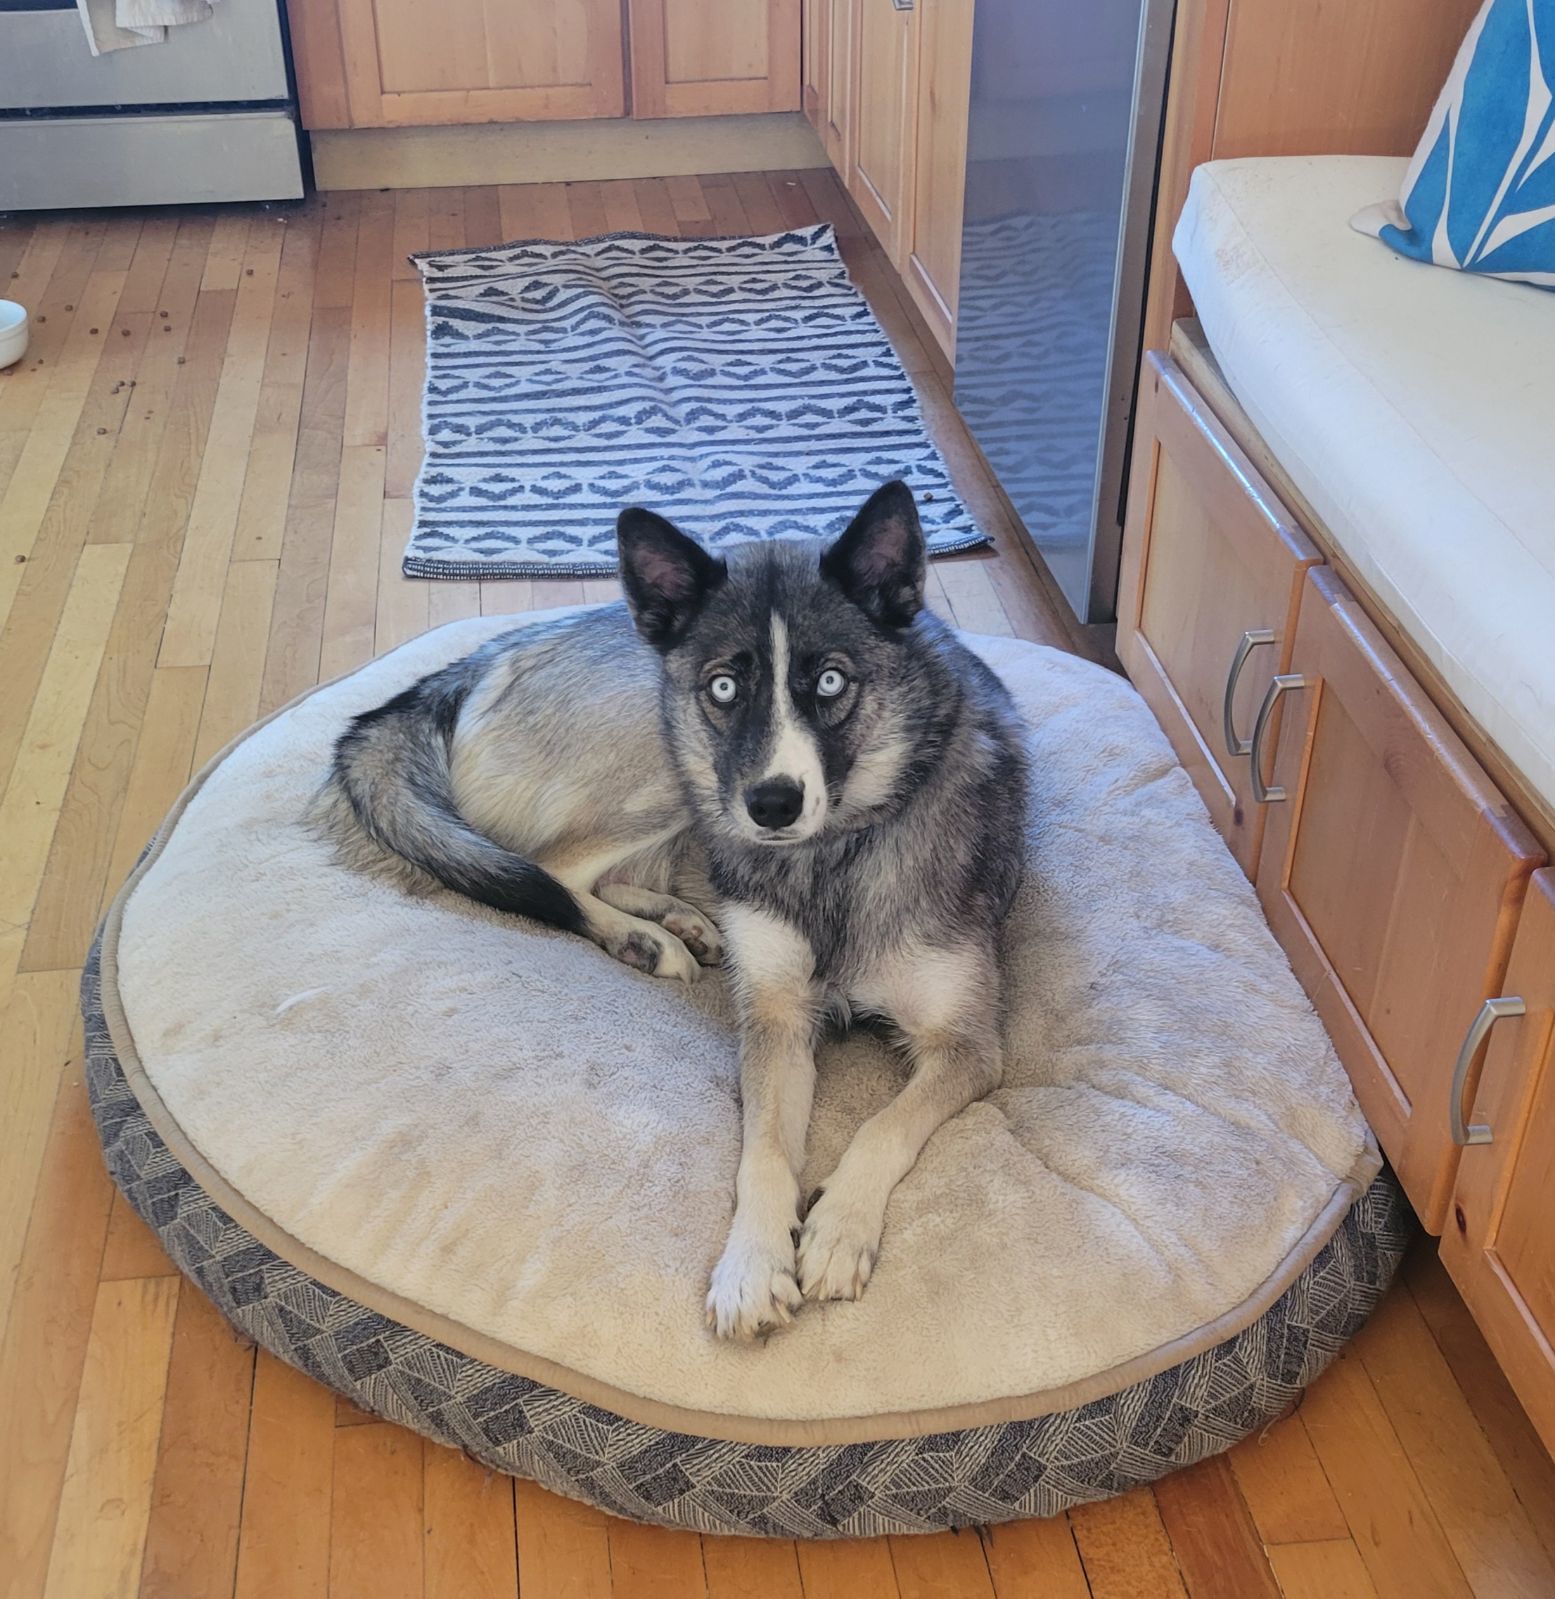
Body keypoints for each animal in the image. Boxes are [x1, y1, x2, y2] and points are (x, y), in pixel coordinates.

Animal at [316, 479, 1023, 1343]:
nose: (771, 805)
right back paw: (644, 936)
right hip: (668, 766)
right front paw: (750, 1264)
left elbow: (883, 1123)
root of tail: (467, 666)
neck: (833, 853)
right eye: (722, 686)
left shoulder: (968, 1047)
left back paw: (676, 922)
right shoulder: (776, 1021)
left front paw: (837, 1229)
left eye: (830, 681)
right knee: (554, 865)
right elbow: (764, 1155)